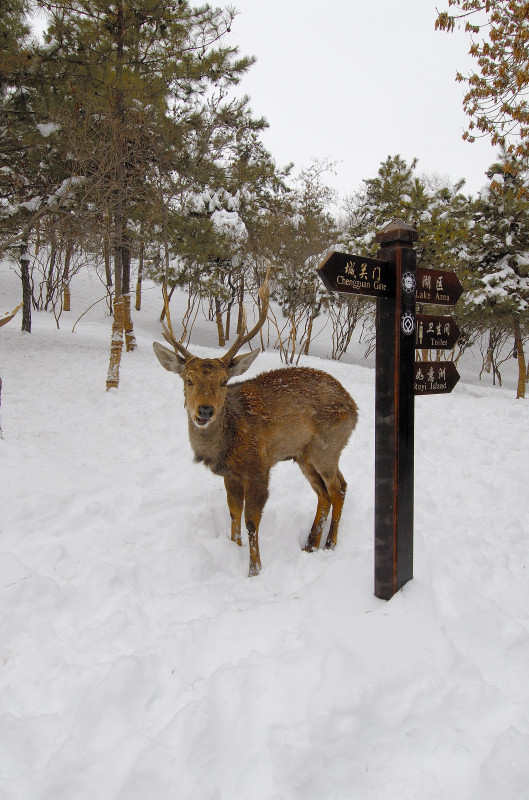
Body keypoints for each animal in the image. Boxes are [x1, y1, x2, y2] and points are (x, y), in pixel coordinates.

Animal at [153, 276, 358, 576]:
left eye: (224, 381)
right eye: (188, 380)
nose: (205, 410)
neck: (227, 446)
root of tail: (354, 407)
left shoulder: (258, 468)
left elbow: (251, 521)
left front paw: (254, 570)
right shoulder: (230, 475)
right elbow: (233, 513)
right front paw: (233, 548)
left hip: (328, 447)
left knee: (338, 488)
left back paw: (330, 544)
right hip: (304, 455)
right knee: (324, 493)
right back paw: (310, 544)